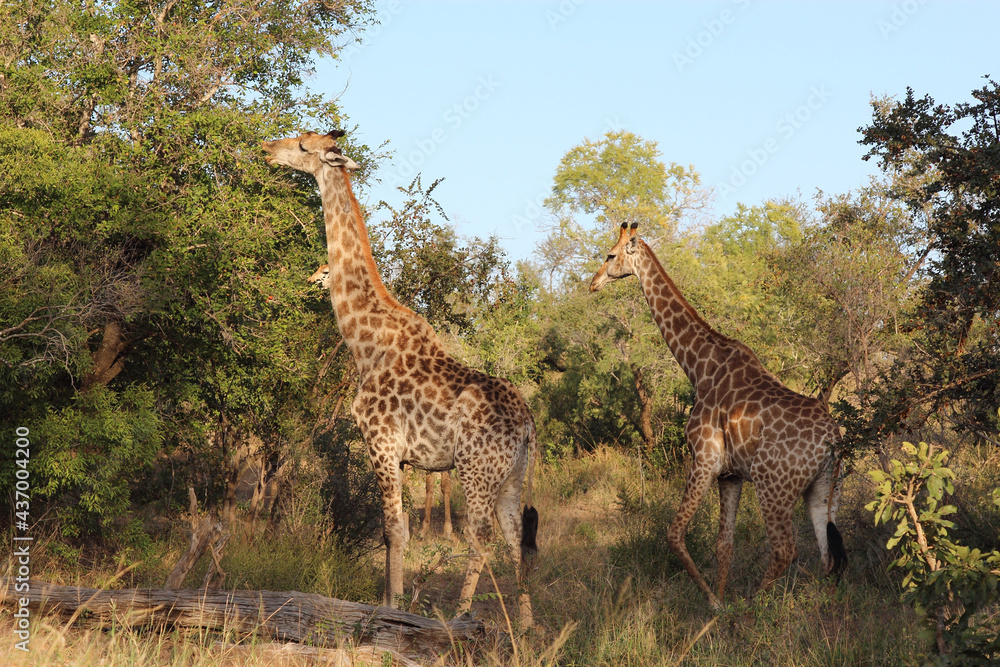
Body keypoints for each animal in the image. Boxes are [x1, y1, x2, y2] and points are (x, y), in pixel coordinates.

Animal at [591, 223, 847, 609]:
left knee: (786, 550)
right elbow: (723, 543)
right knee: (828, 553)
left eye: (610, 255)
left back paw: (752, 607)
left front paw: (714, 602)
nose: (593, 283)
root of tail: (832, 439)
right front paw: (720, 601)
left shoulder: (705, 460)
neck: (698, 366)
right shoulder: (730, 475)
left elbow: (674, 534)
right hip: (823, 488)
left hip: (773, 486)